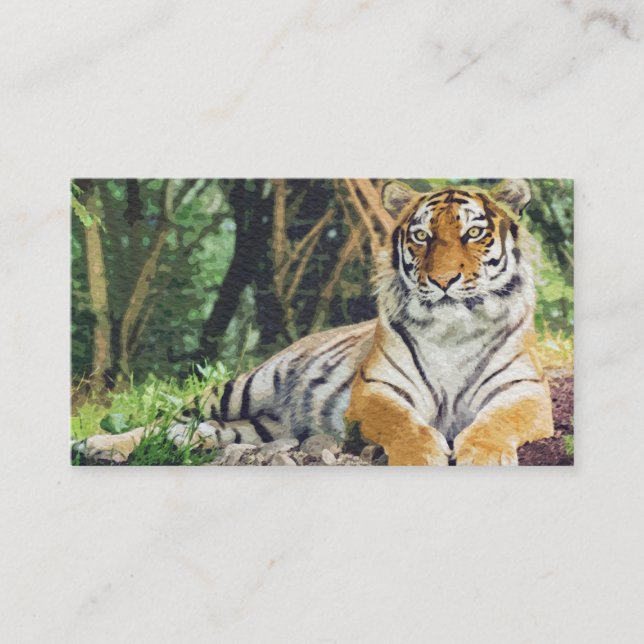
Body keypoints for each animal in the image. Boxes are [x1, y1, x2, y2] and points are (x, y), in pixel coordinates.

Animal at [81, 179, 554, 466]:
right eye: (421, 236)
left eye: (473, 233)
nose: (443, 280)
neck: (452, 332)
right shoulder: (375, 391)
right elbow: (404, 424)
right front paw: (422, 455)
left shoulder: (524, 392)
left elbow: (496, 423)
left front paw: (484, 454)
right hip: (242, 387)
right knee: (167, 419)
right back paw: (98, 444)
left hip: (258, 427)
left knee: (201, 431)